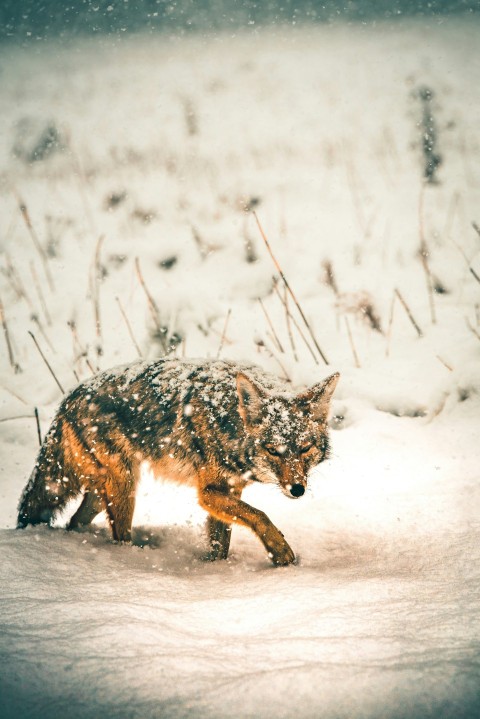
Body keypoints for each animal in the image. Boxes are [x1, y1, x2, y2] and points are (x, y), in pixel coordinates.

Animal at [17, 359, 339, 566]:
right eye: (273, 451)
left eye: (305, 448)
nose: (297, 489)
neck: (230, 421)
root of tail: (68, 399)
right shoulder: (208, 493)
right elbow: (259, 515)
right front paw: (281, 552)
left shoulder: (229, 490)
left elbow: (222, 541)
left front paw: (216, 569)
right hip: (124, 487)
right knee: (118, 536)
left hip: (101, 493)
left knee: (73, 522)